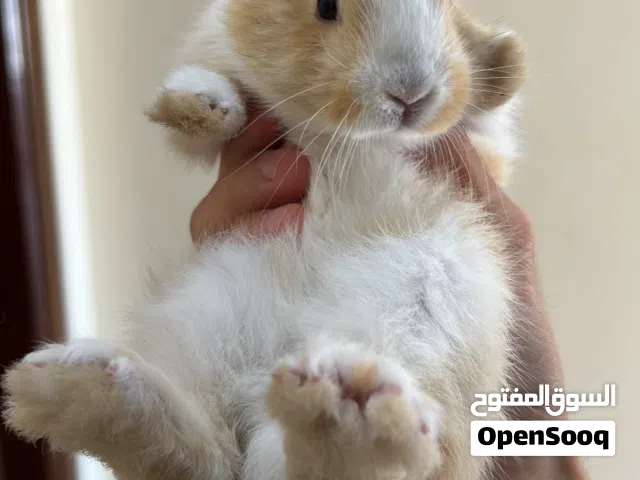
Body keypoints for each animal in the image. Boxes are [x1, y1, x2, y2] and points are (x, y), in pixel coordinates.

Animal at [3, 0, 527, 479]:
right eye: (325, 6)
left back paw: (347, 412)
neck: (340, 136)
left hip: (432, 321)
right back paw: (76, 385)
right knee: (206, 456)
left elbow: (485, 126)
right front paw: (199, 103)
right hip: (206, 316)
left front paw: (504, 59)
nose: (411, 93)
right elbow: (203, 124)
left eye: (449, 10)